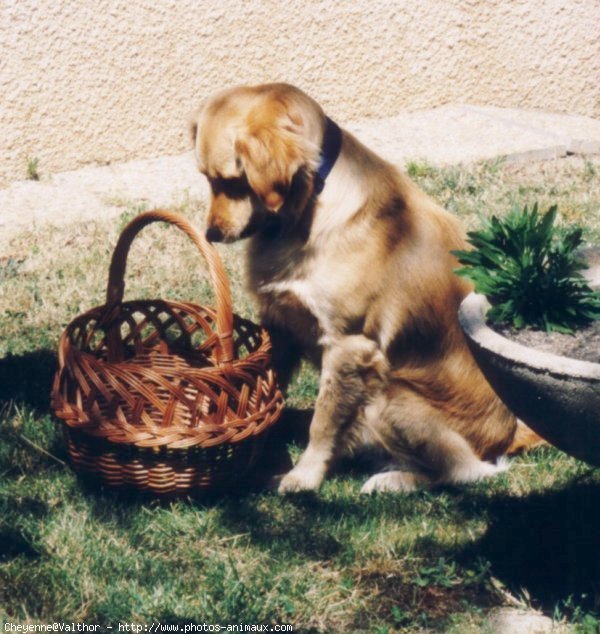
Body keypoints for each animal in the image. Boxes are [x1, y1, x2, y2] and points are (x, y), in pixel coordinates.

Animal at [190, 81, 536, 492]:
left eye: (230, 181)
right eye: (206, 178)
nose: (211, 233)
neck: (306, 212)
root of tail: (511, 433)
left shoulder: (348, 345)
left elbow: (323, 422)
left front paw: (303, 477)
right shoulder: (281, 323)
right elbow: (269, 386)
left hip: (388, 393)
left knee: (465, 471)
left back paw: (391, 481)